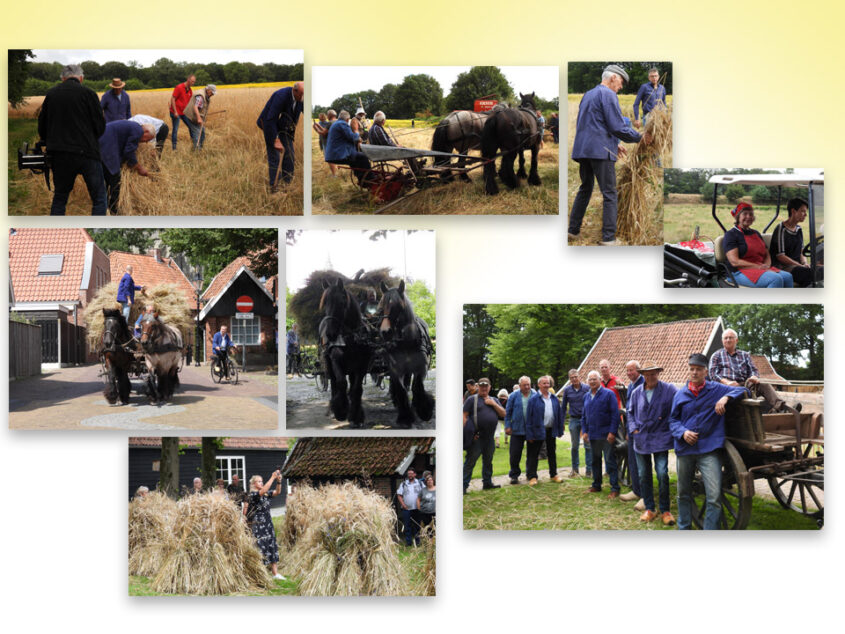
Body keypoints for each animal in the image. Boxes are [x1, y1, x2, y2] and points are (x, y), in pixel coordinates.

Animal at [318, 276, 370, 424]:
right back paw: (332, 408)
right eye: (325, 303)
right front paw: (341, 410)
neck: (352, 338)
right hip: (328, 364)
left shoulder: (362, 365)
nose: (330, 334)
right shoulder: (336, 361)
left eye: (341, 302)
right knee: (334, 383)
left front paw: (355, 415)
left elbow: (357, 389)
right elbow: (341, 383)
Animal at [378, 278, 432, 428]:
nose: (385, 332)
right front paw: (405, 417)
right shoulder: (395, 369)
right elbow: (401, 389)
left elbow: (417, 386)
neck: (407, 342)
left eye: (397, 306)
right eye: (381, 306)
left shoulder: (422, 367)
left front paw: (424, 410)